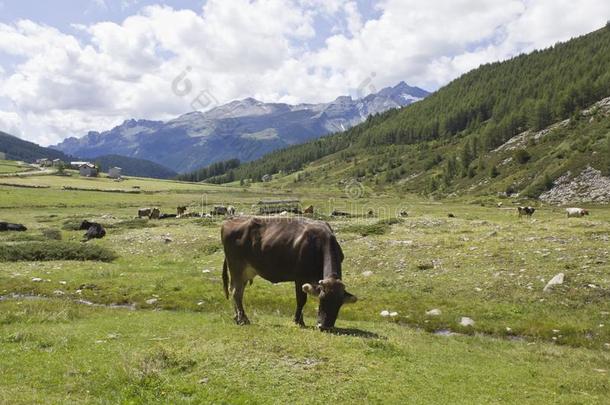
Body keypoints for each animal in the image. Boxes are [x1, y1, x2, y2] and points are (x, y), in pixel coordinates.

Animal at [220, 216, 356, 330]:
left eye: (339, 304)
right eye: (322, 299)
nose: (324, 326)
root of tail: (229, 221)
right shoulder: (300, 278)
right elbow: (301, 300)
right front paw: (298, 321)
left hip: (244, 272)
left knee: (237, 292)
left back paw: (237, 317)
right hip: (237, 267)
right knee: (236, 292)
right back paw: (243, 319)